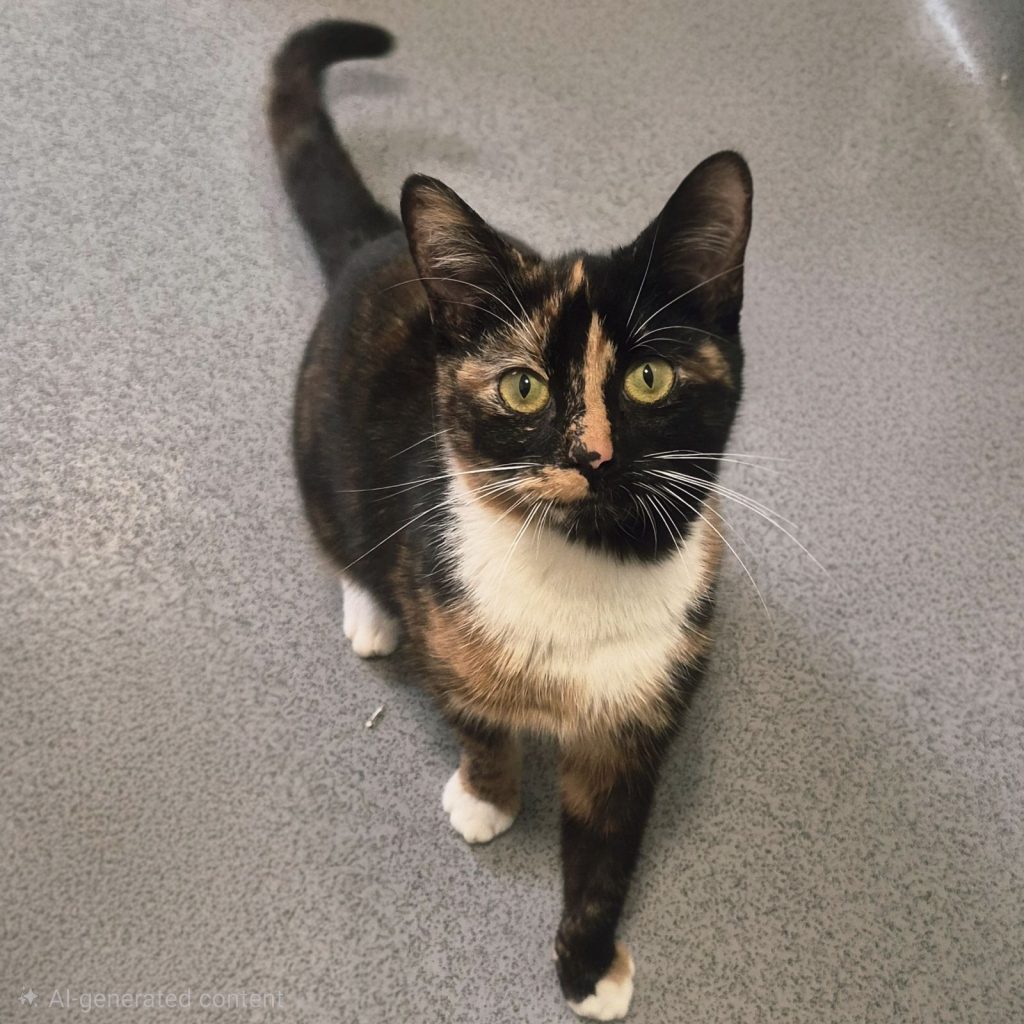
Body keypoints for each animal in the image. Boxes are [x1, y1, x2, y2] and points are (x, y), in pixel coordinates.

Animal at [269, 20, 752, 1021]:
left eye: (649, 377)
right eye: (524, 386)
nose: (592, 454)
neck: (588, 567)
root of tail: (381, 240)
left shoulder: (636, 714)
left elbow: (608, 851)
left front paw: (588, 965)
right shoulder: (446, 607)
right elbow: (479, 722)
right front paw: (486, 798)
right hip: (317, 451)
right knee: (346, 539)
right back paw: (370, 615)